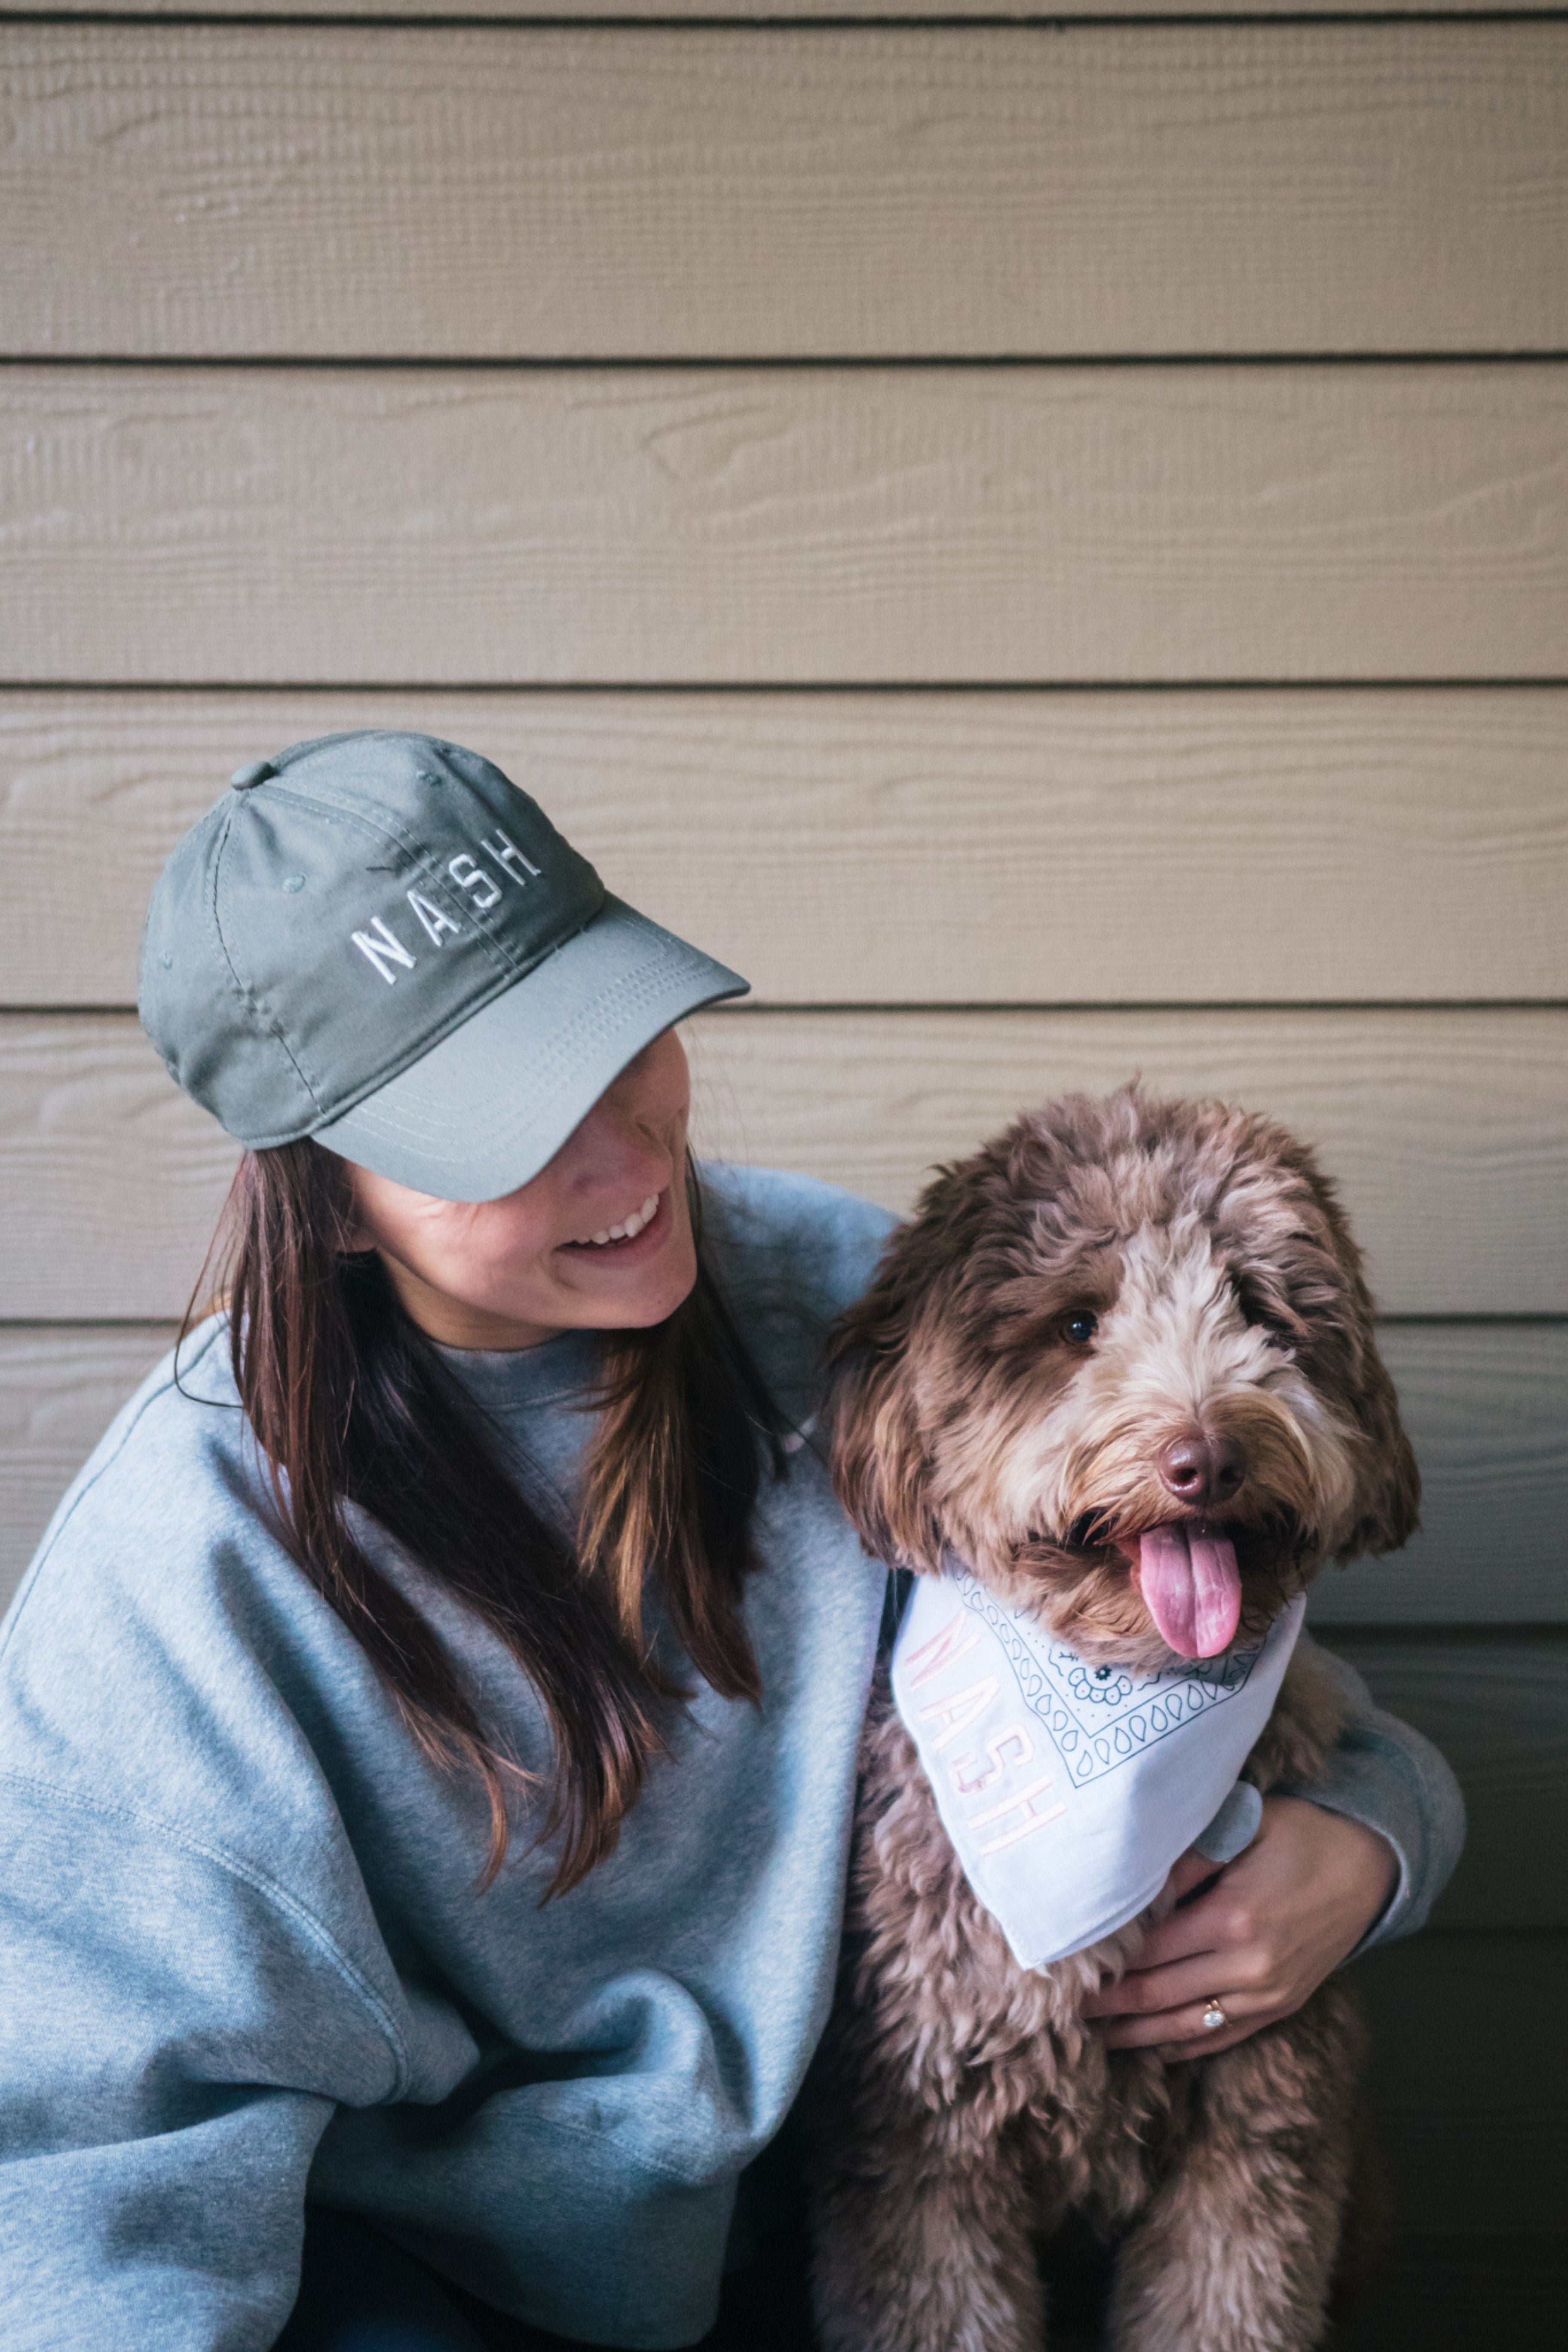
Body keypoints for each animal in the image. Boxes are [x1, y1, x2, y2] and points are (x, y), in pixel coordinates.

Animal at [808, 1091, 1420, 2343]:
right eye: (1079, 1322)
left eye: (1259, 1309)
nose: (1208, 1458)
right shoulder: (918, 2141)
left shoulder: (1259, 2133)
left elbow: (1227, 2303)